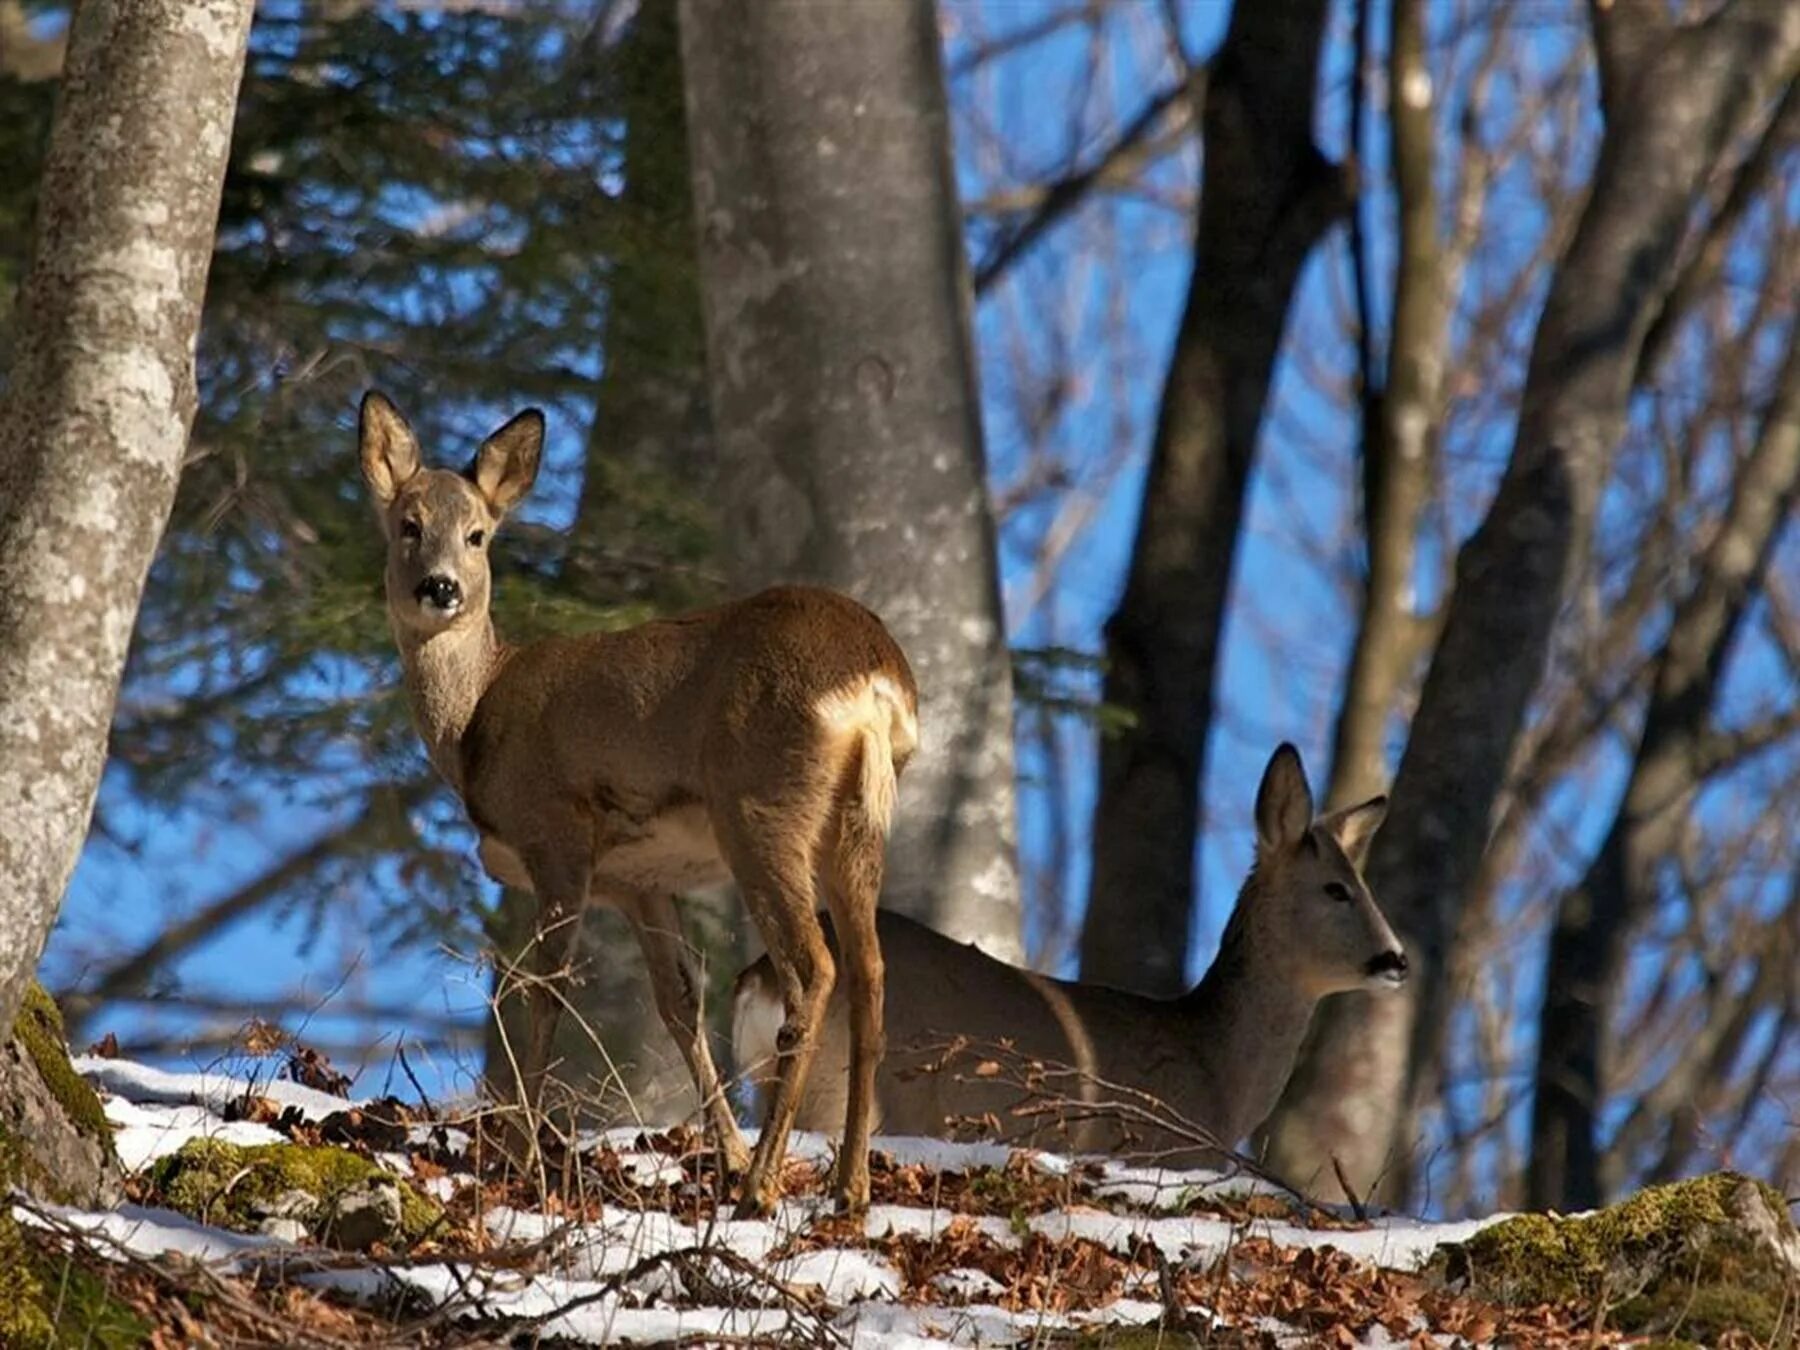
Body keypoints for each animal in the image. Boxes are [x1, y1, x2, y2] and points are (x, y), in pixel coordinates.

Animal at [354, 390, 914, 1216]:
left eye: (478, 534)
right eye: (408, 526)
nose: (440, 588)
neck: (475, 719)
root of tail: (874, 681)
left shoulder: (556, 836)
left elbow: (544, 990)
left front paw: (520, 1154)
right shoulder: (642, 878)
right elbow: (678, 1004)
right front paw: (723, 1151)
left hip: (760, 808)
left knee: (815, 969)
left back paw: (763, 1187)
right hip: (856, 824)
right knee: (871, 972)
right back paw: (847, 1188)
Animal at [730, 745, 1404, 1166]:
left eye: (1364, 883)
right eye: (1336, 889)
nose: (1396, 959)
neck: (1214, 1070)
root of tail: (760, 980)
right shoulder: (1159, 1148)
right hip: (843, 1087)